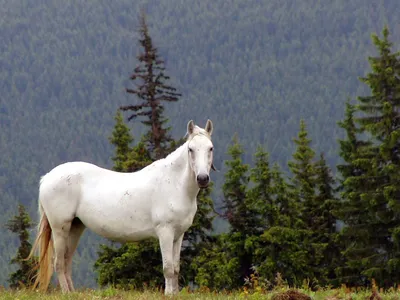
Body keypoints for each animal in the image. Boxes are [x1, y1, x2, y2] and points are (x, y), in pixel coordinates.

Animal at [27, 118, 216, 294]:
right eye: (191, 149)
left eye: (210, 148)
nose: (202, 178)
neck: (174, 184)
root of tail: (47, 177)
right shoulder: (165, 232)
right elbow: (168, 269)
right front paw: (168, 294)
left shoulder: (178, 235)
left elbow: (176, 269)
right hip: (60, 228)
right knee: (58, 263)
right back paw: (67, 293)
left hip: (75, 227)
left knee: (66, 261)